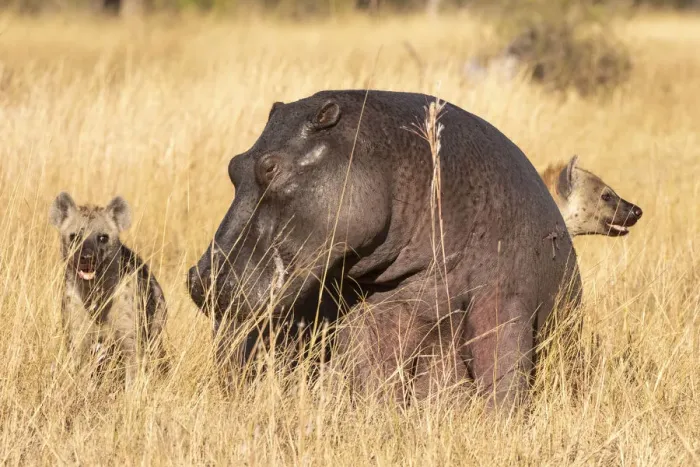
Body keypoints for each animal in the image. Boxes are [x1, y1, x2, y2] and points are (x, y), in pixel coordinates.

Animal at [187, 89, 582, 409]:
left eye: (270, 167)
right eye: (233, 165)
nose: (202, 278)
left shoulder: (504, 297)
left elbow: (502, 372)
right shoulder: (370, 316)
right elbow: (371, 375)